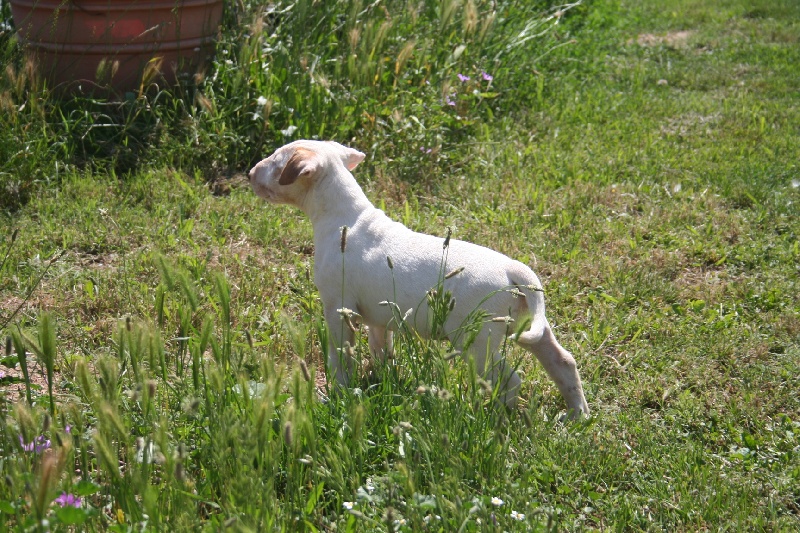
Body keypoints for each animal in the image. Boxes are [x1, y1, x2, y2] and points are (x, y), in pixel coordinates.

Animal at [249, 140, 589, 418]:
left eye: (276, 159)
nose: (250, 174)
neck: (344, 217)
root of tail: (514, 270)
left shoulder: (338, 307)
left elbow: (340, 355)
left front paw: (339, 391)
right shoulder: (378, 316)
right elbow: (381, 349)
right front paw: (380, 379)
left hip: (476, 341)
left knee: (510, 381)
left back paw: (493, 417)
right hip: (526, 328)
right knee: (563, 361)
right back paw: (577, 416)